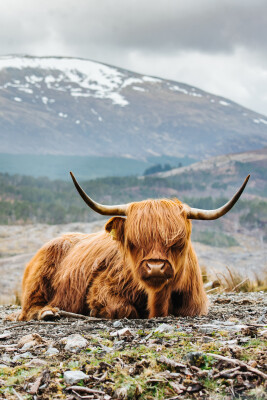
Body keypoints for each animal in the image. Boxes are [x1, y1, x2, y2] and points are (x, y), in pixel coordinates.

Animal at [17, 173, 251, 320]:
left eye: (178, 242)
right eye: (133, 242)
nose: (155, 267)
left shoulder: (195, 305)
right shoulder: (101, 288)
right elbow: (123, 309)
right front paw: (96, 313)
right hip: (38, 280)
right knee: (28, 308)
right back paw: (48, 312)